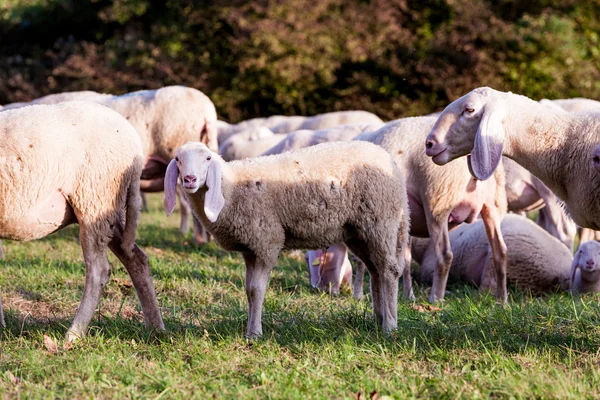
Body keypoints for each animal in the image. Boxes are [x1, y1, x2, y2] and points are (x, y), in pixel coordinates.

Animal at [0, 102, 164, 340]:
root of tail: (134, 142)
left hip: (94, 198)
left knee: (99, 271)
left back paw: (73, 335)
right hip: (108, 210)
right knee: (137, 260)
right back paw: (155, 328)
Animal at [354, 115, 508, 304]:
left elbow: (362, 260)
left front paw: (358, 294)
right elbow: (405, 259)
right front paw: (408, 296)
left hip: (438, 201)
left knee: (444, 255)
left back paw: (436, 298)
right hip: (493, 204)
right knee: (500, 251)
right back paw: (503, 300)